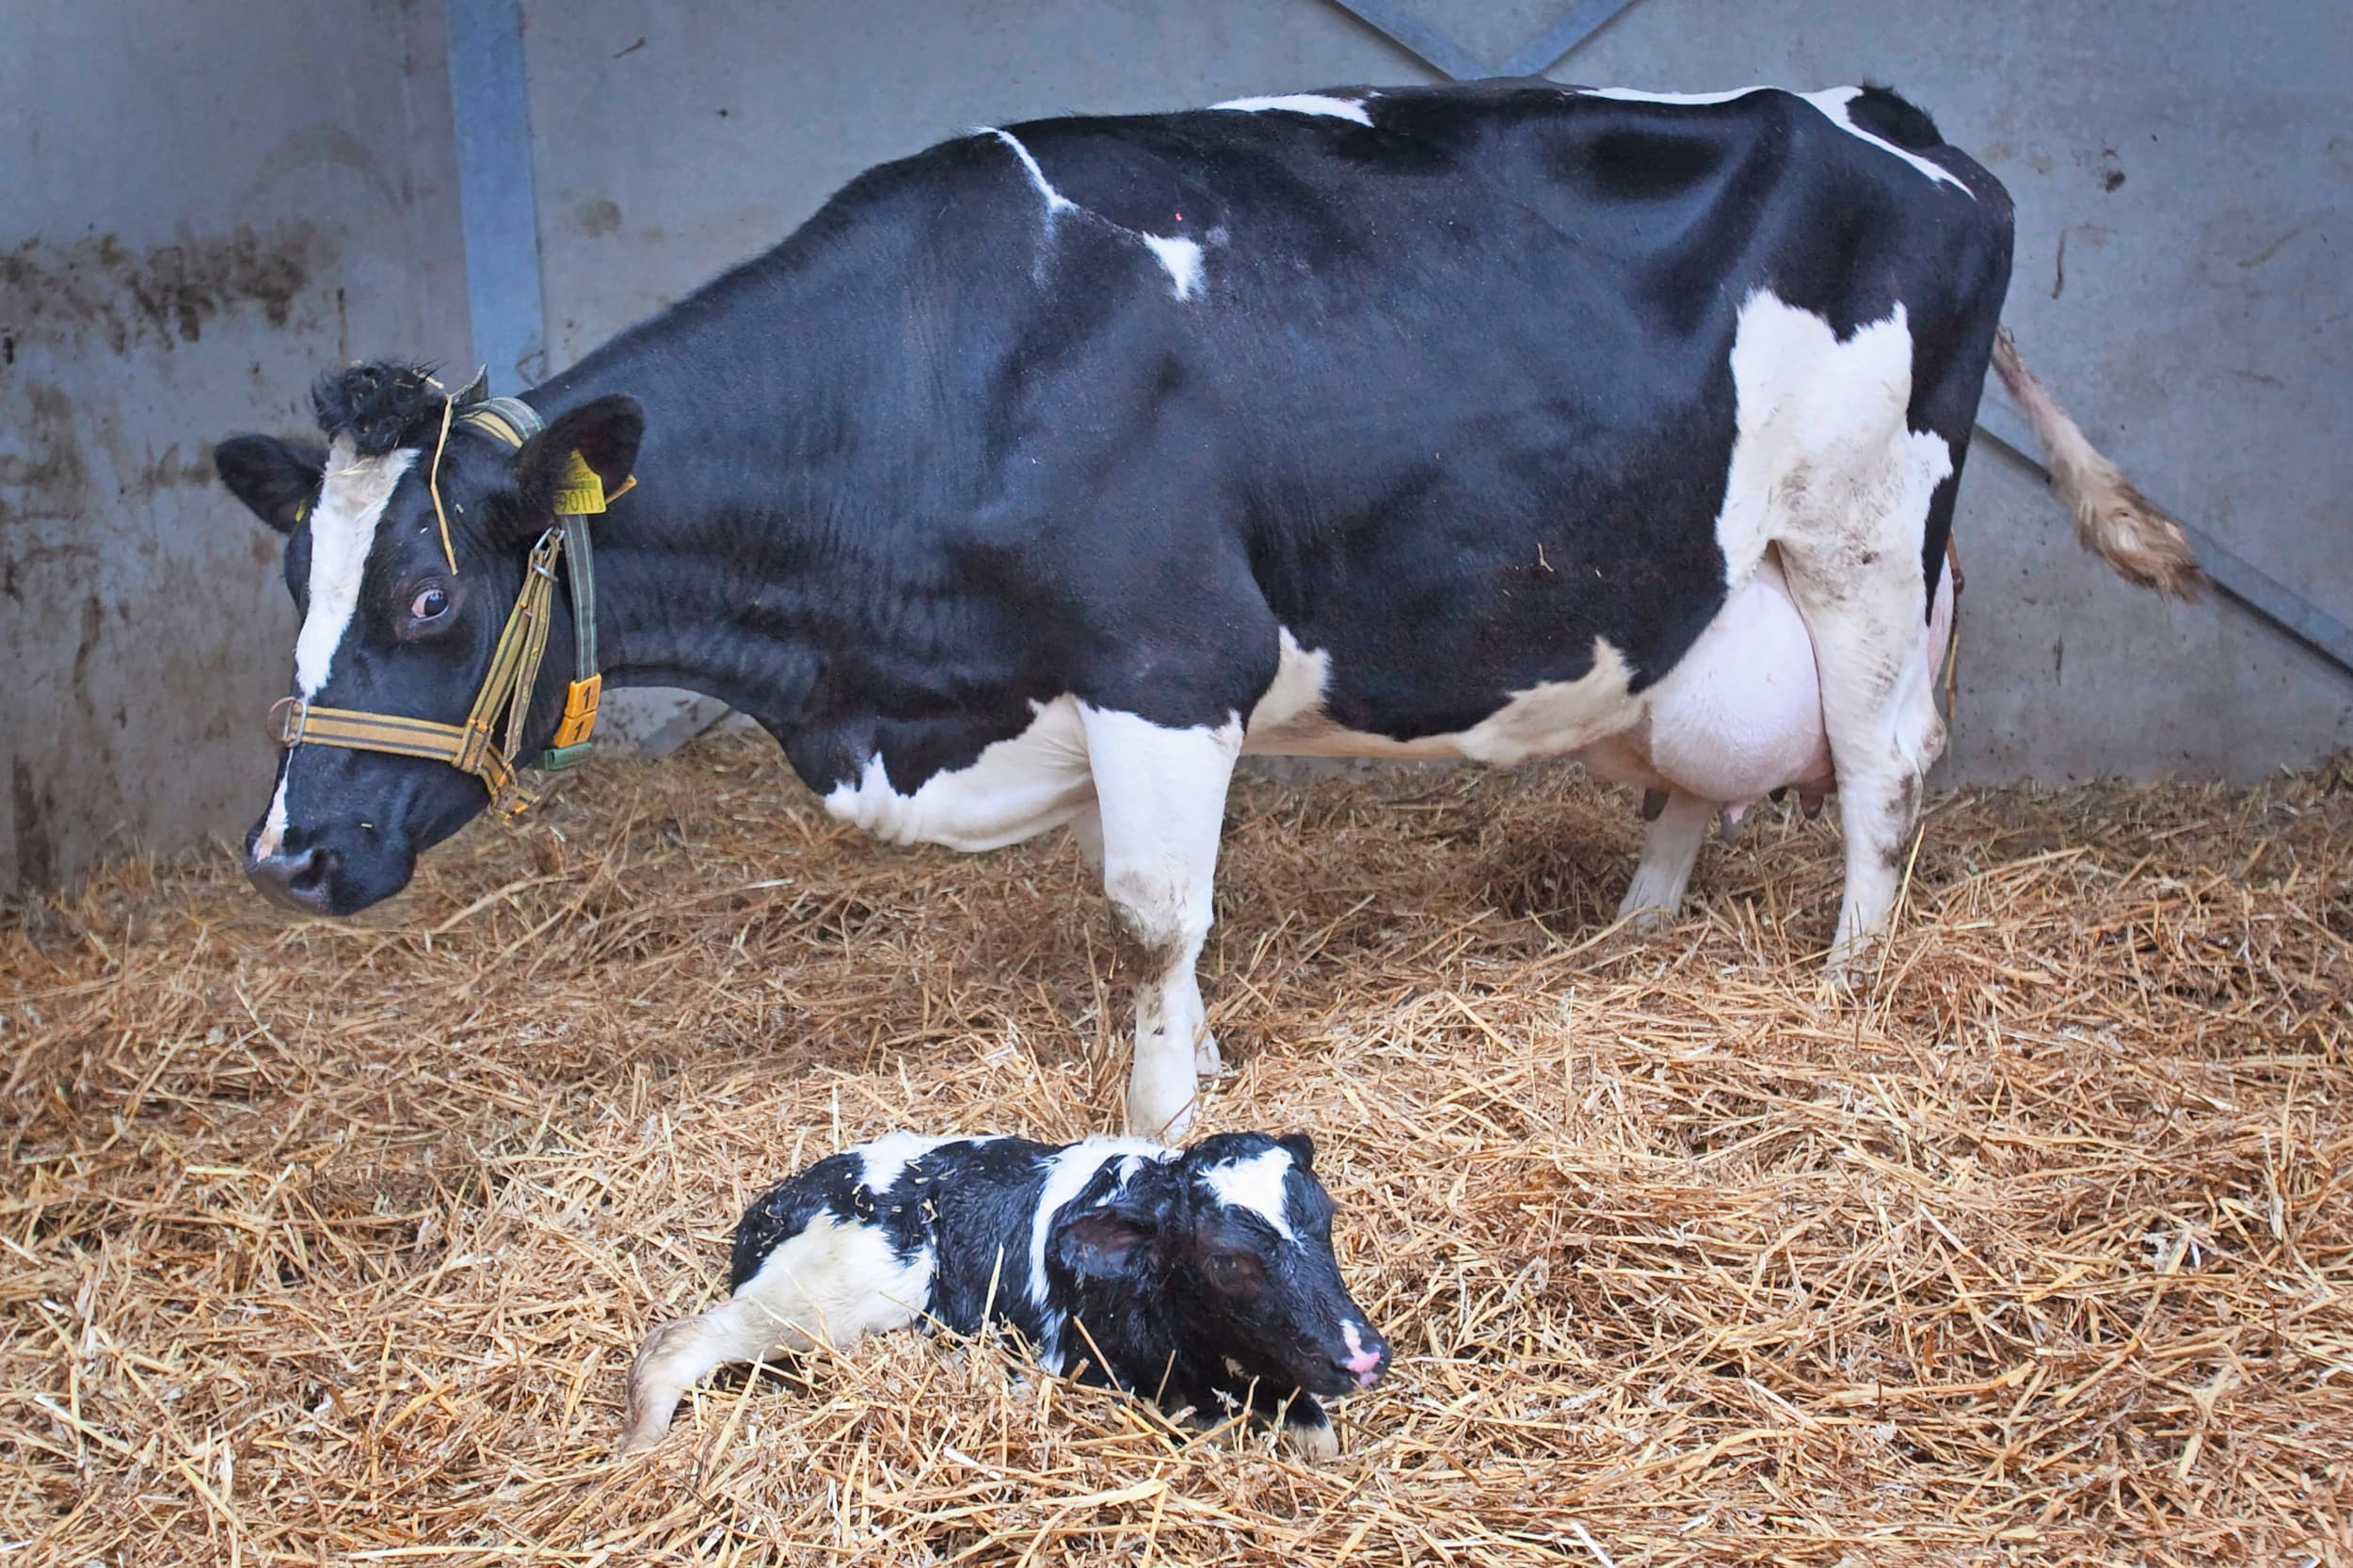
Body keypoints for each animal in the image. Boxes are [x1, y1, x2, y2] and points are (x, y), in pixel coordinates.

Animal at [212, 80, 2200, 1140]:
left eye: (422, 592)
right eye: (297, 583)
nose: (284, 857)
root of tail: (1891, 115)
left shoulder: (1167, 657)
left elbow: (1151, 914)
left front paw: (1163, 1115)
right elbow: (1167, 916)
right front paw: (1205, 1063)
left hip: (1866, 529)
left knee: (1884, 760)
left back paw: (1851, 986)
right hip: (1704, 575)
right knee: (1701, 766)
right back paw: (1633, 938)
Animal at [616, 1129, 1389, 1461]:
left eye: (1326, 1219)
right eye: (1227, 1261)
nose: (1364, 1358)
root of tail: (775, 1206)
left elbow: (1317, 1432)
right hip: (812, 1306)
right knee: (671, 1343)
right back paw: (639, 1446)